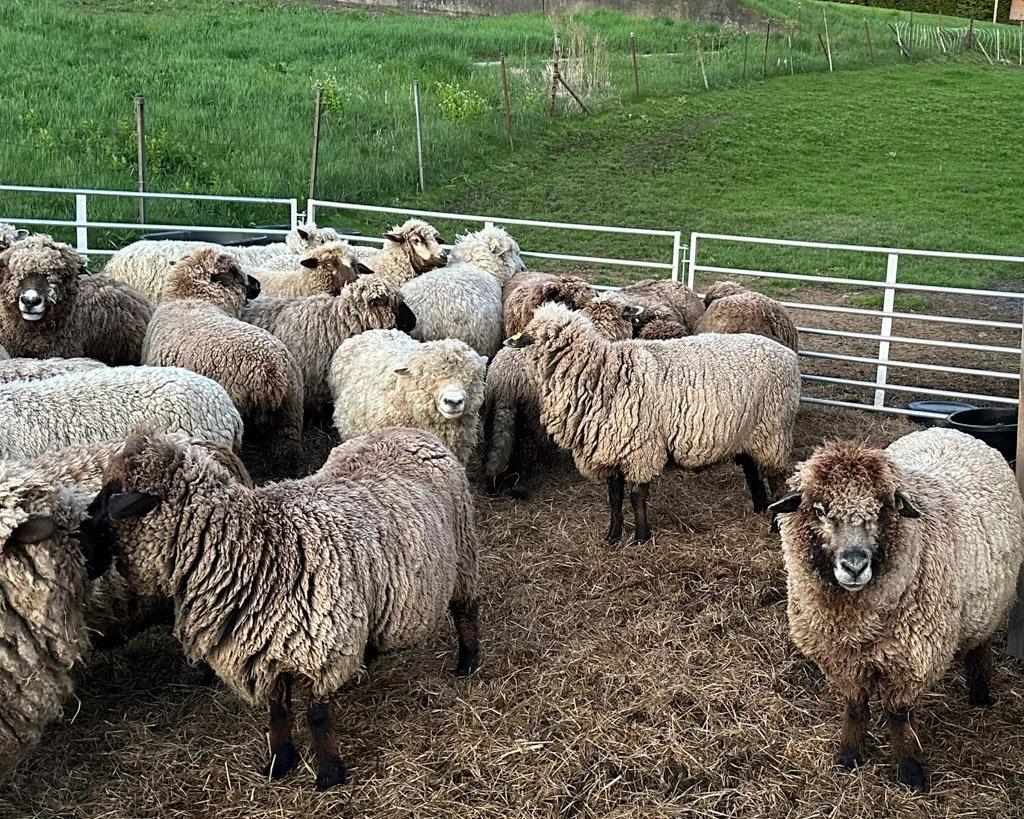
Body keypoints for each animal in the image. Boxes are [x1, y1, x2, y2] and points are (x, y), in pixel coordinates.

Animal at [85, 425, 480, 790]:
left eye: (110, 496)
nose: (81, 544)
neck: (257, 547)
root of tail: (409, 430)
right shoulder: (263, 648)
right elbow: (277, 713)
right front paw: (280, 761)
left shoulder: (321, 646)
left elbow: (317, 717)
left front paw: (328, 774)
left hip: (463, 553)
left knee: (466, 609)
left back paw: (468, 662)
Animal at [142, 248, 304, 472]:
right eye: (235, 272)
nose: (257, 284)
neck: (191, 300)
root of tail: (270, 370)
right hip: (290, 412)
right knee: (287, 450)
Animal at [506, 302, 801, 543]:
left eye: (545, 335)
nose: (512, 342)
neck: (601, 373)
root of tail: (787, 355)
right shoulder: (611, 446)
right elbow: (614, 496)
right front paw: (613, 536)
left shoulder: (641, 448)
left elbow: (637, 496)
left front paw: (641, 537)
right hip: (748, 431)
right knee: (752, 470)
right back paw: (760, 506)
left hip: (773, 430)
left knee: (776, 480)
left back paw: (774, 525)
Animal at [768, 427, 1024, 792]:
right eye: (818, 510)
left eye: (879, 510)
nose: (854, 566)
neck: (857, 624)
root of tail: (951, 430)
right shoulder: (840, 659)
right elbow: (855, 708)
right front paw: (848, 756)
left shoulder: (912, 659)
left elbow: (899, 716)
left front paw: (910, 771)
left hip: (991, 602)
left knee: (979, 645)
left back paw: (979, 693)